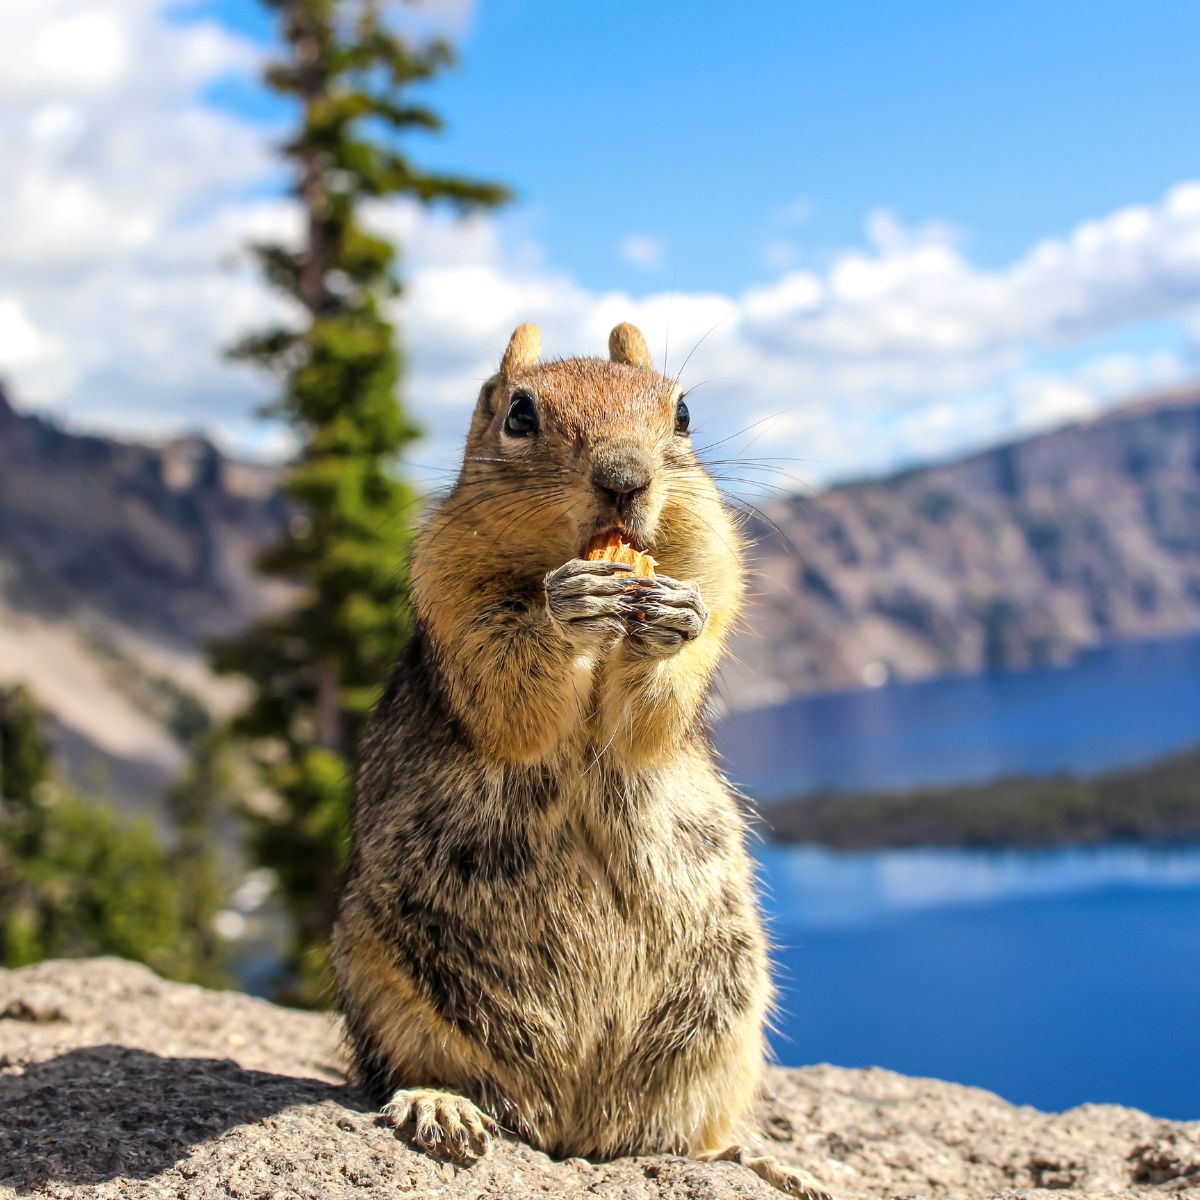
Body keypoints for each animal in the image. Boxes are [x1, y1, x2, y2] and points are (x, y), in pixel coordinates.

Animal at [333, 324, 830, 1195]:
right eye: (520, 414)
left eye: (683, 413)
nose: (624, 479)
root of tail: (574, 1130)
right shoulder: (451, 590)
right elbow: (512, 691)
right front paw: (567, 609)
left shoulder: (715, 565)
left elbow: (651, 719)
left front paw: (673, 621)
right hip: (381, 982)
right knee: (414, 1072)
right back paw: (441, 1106)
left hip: (727, 1022)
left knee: (681, 1135)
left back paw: (760, 1157)